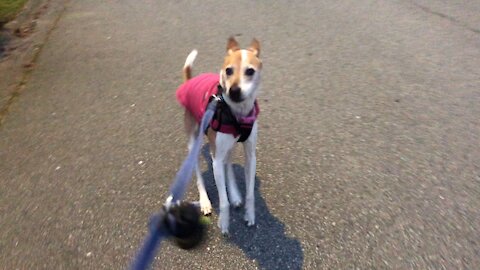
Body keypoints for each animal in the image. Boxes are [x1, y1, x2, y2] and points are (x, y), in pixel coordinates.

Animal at [174, 37, 260, 234]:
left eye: (250, 71)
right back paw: (205, 201)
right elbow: (224, 201)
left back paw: (234, 194)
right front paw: (225, 222)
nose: (233, 90)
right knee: (199, 176)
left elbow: (250, 194)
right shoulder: (216, 160)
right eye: (228, 70)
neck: (236, 114)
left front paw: (249, 214)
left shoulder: (250, 157)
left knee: (227, 163)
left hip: (227, 147)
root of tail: (189, 81)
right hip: (194, 145)